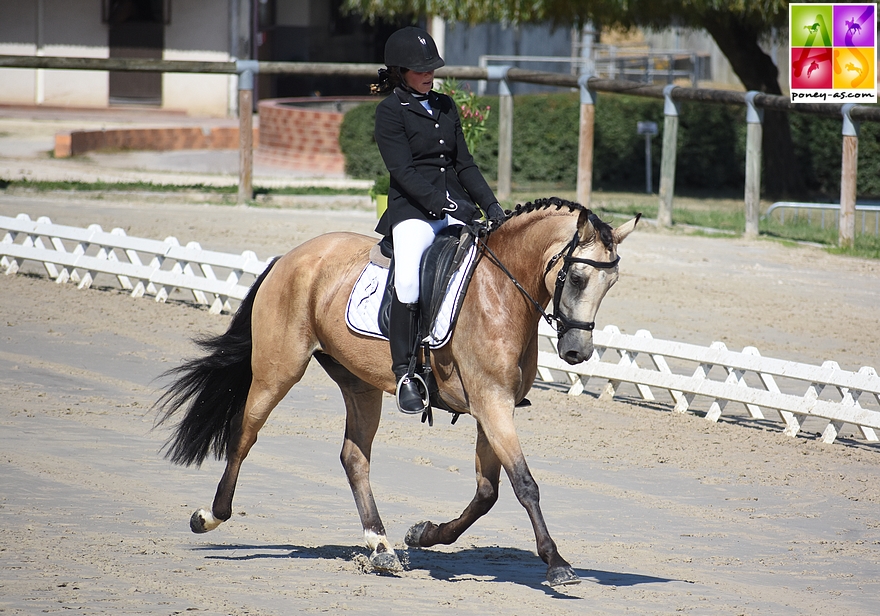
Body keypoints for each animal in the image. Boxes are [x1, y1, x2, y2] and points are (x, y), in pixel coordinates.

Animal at [156, 197, 640, 588]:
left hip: (360, 384)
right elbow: (525, 484)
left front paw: (424, 534)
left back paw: (382, 547)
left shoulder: (493, 406)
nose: (577, 352)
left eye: (610, 284)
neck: (501, 291)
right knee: (245, 433)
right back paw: (210, 516)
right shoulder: (492, 403)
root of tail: (291, 256)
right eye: (576, 278)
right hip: (278, 370)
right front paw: (557, 563)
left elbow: (488, 492)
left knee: (354, 457)